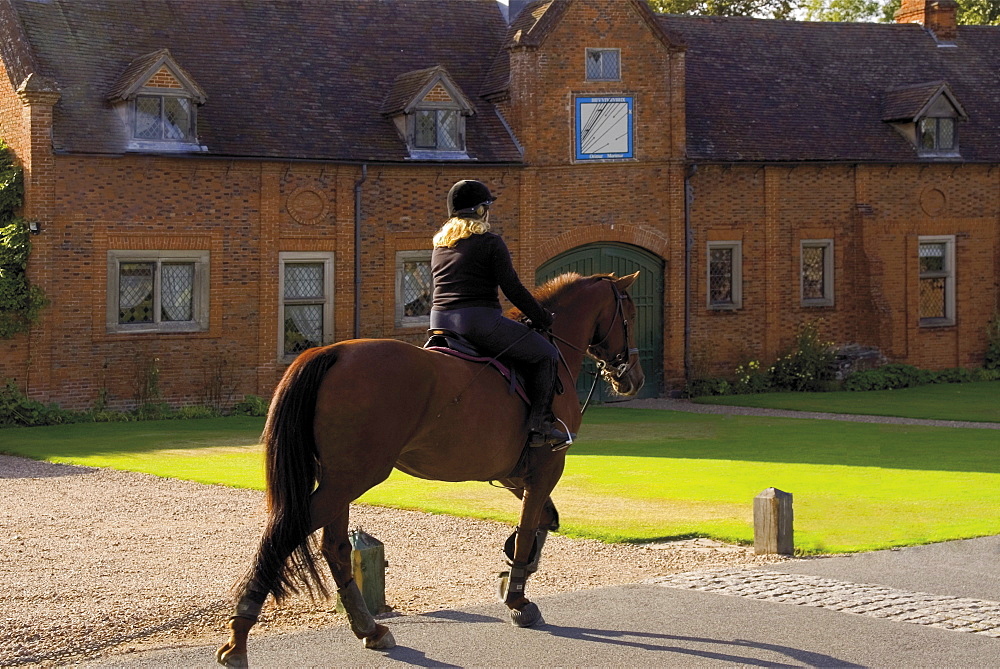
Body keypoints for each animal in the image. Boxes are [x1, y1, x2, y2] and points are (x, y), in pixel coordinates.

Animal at [215, 270, 644, 664]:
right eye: (630, 313)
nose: (634, 378)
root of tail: (332, 353)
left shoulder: (515, 473)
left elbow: (543, 521)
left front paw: (512, 575)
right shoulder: (546, 467)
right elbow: (528, 529)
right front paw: (518, 598)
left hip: (340, 479)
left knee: (334, 547)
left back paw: (369, 629)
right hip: (352, 477)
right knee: (284, 533)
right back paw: (239, 639)